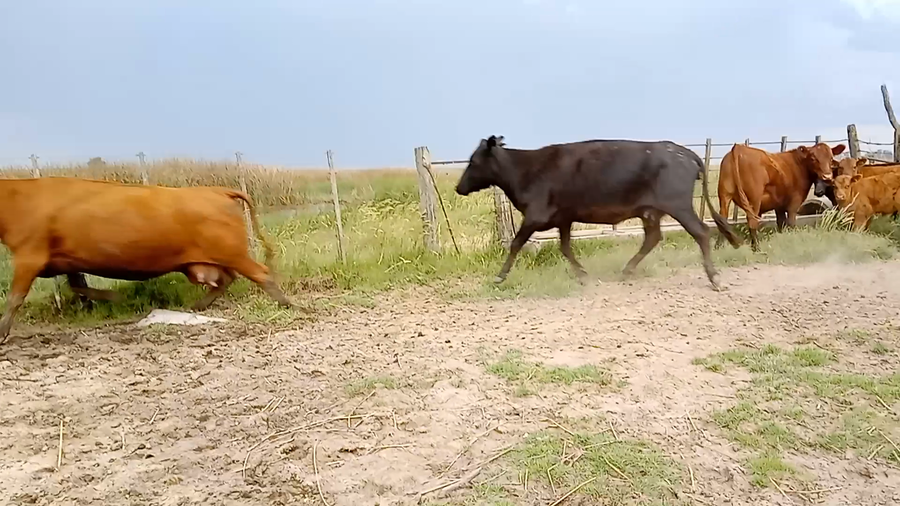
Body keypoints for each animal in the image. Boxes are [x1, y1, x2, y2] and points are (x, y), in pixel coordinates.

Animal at [0, 177, 293, 343]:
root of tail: (215, 190)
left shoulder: (29, 256)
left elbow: (15, 298)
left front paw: (2, 334)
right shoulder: (68, 261)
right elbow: (79, 288)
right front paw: (115, 298)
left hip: (232, 253)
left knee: (260, 272)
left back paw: (287, 304)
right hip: (215, 259)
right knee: (226, 279)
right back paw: (197, 306)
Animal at [453, 136, 741, 291]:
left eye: (473, 161)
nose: (458, 187)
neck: (525, 171)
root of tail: (684, 151)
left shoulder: (535, 216)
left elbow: (515, 244)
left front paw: (499, 276)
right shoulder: (564, 218)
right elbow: (565, 247)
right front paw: (583, 274)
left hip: (678, 205)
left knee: (701, 232)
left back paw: (715, 278)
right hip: (651, 212)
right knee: (652, 238)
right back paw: (626, 270)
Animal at [716, 142, 846, 251]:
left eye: (831, 158)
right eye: (813, 158)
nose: (827, 176)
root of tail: (739, 148)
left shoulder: (779, 204)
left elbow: (781, 222)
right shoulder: (794, 202)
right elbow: (791, 222)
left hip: (724, 196)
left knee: (722, 219)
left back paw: (719, 246)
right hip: (754, 200)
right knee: (752, 221)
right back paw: (756, 248)